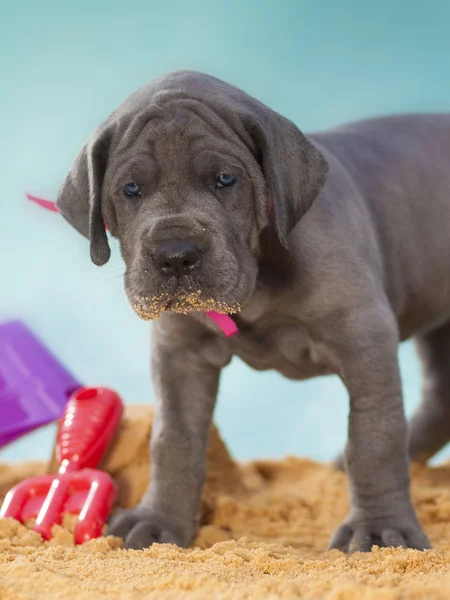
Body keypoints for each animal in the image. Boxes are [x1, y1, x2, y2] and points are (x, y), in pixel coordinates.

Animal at [56, 70, 450, 552]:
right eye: (131, 189)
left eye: (226, 179)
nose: (175, 255)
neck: (260, 275)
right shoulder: (180, 352)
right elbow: (173, 440)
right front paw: (158, 520)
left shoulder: (363, 333)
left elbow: (374, 433)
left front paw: (379, 530)